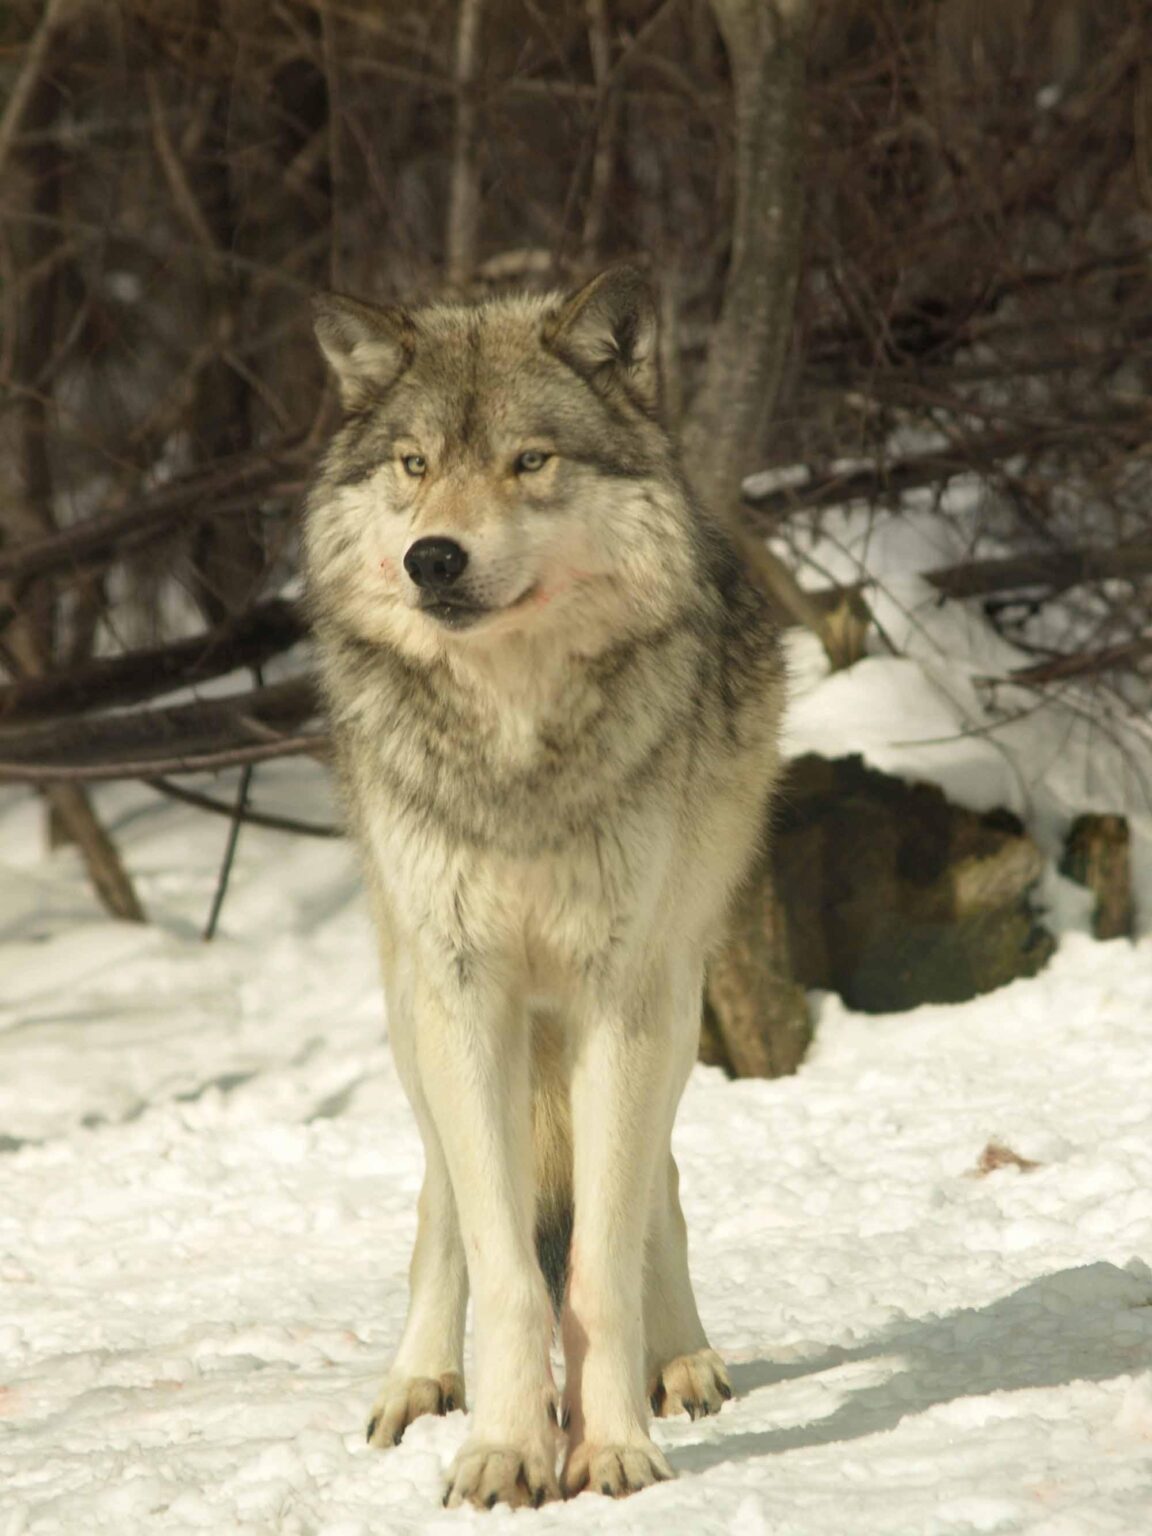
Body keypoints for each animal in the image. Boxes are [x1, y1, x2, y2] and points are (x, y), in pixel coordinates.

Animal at [304, 265, 785, 1509]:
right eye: (414, 463)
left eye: (530, 461)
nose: (434, 558)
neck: (514, 733)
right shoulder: (465, 991)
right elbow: (507, 1262)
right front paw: (507, 1447)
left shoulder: (623, 993)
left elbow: (601, 1258)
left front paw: (609, 1443)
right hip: (412, 1008)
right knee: (445, 1206)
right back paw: (419, 1379)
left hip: (673, 996)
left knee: (655, 1183)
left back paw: (683, 1359)